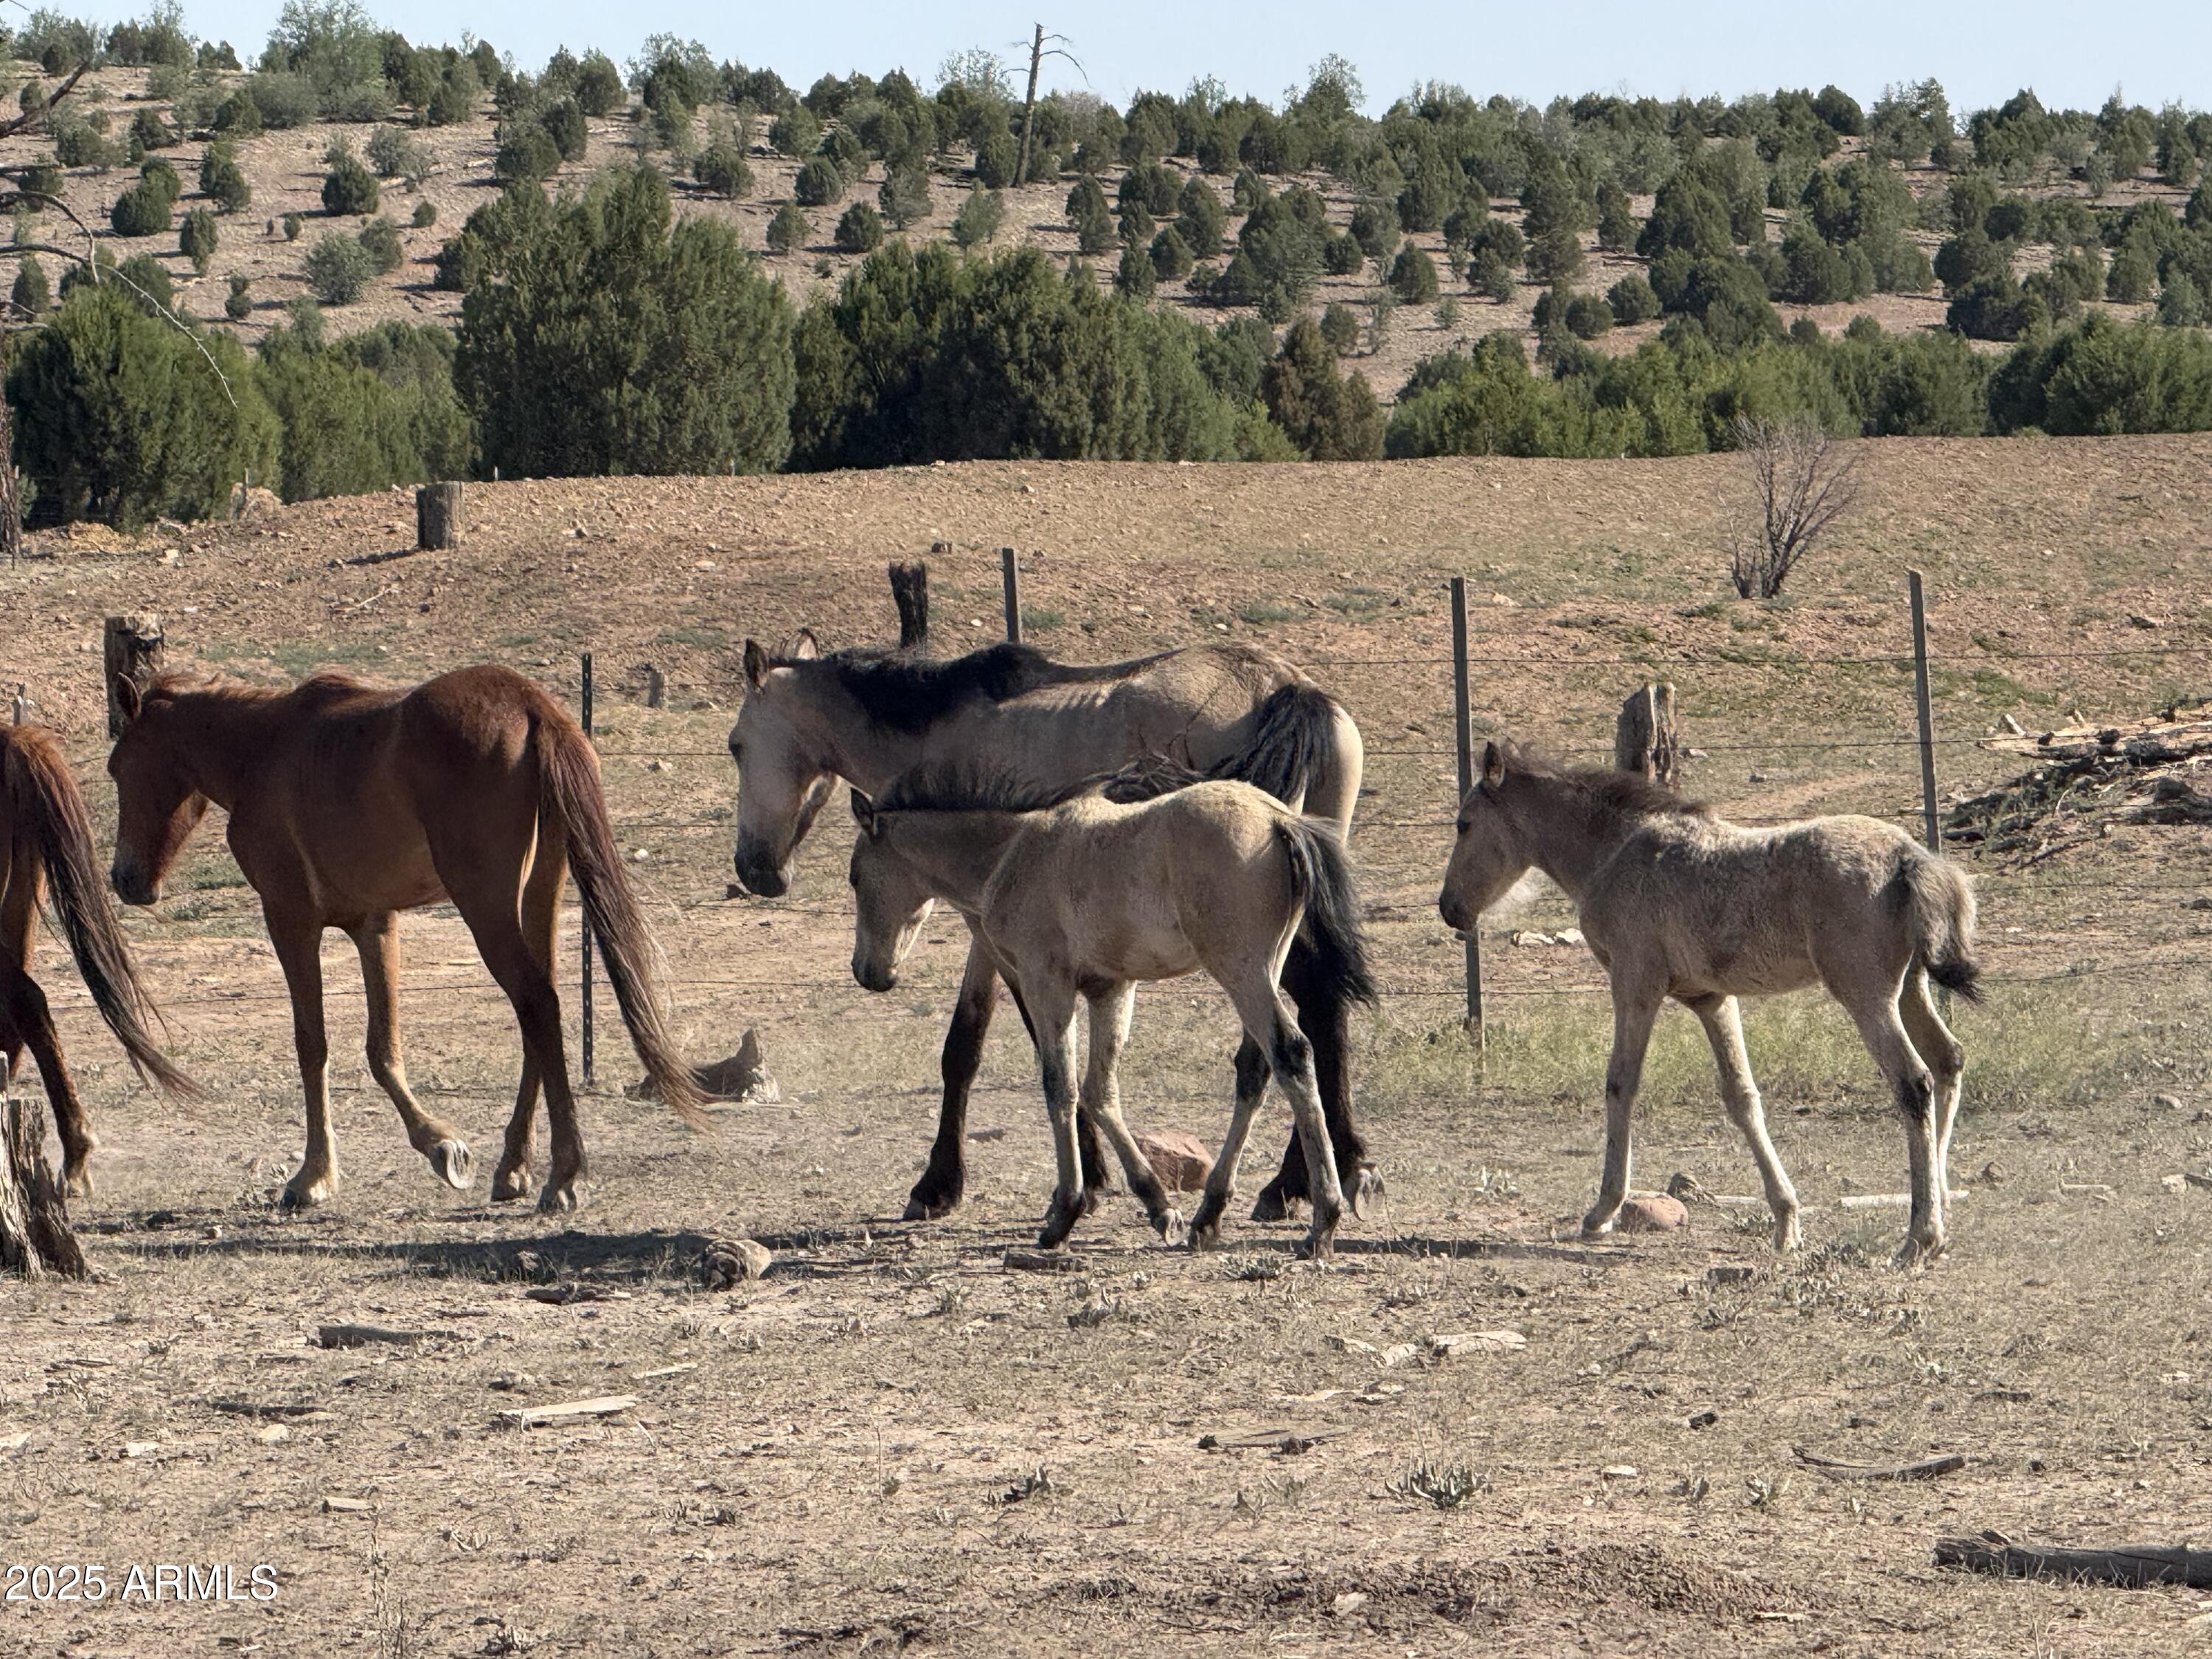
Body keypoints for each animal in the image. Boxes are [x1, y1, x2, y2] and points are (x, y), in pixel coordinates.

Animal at [105, 667, 707, 1214]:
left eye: (117, 769)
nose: (125, 880)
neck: (262, 749)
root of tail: (532, 707)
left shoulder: (290, 919)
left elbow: (312, 1044)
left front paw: (315, 1176)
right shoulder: (375, 924)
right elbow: (383, 1050)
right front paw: (439, 1147)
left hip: (487, 908)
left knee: (536, 1003)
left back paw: (563, 1176)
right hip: (541, 895)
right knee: (541, 1011)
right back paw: (514, 1168)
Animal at [847, 764, 1378, 1260]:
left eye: (853, 877)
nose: (868, 973)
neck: (1012, 851)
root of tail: (1278, 819)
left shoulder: (1047, 983)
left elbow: (1060, 1087)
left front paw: (1064, 1215)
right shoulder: (1111, 988)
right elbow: (1100, 1091)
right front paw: (1158, 1206)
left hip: (1240, 970)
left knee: (1291, 1054)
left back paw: (1322, 1221)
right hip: (1267, 966)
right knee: (1256, 1068)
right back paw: (1209, 1215)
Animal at [1437, 742, 1979, 1266]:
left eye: (1465, 824)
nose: (1449, 908)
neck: (1613, 851)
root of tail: (1912, 858)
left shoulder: (1635, 982)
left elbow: (1621, 1084)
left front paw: (1603, 1210)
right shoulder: (1711, 998)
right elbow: (1742, 1097)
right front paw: (1786, 1222)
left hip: (1866, 993)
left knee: (1914, 1081)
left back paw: (1920, 1236)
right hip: (1910, 988)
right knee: (1948, 1059)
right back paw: (1943, 1211)